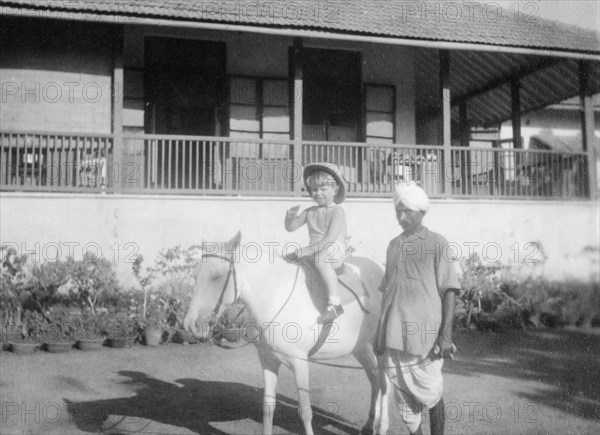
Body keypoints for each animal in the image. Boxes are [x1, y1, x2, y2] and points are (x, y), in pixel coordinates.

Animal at [183, 235, 390, 435]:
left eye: (216, 277)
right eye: (194, 276)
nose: (190, 324)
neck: (275, 297)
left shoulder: (300, 363)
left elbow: (305, 411)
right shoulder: (267, 360)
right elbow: (268, 407)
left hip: (380, 349)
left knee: (384, 383)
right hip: (361, 347)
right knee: (374, 379)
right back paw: (369, 424)